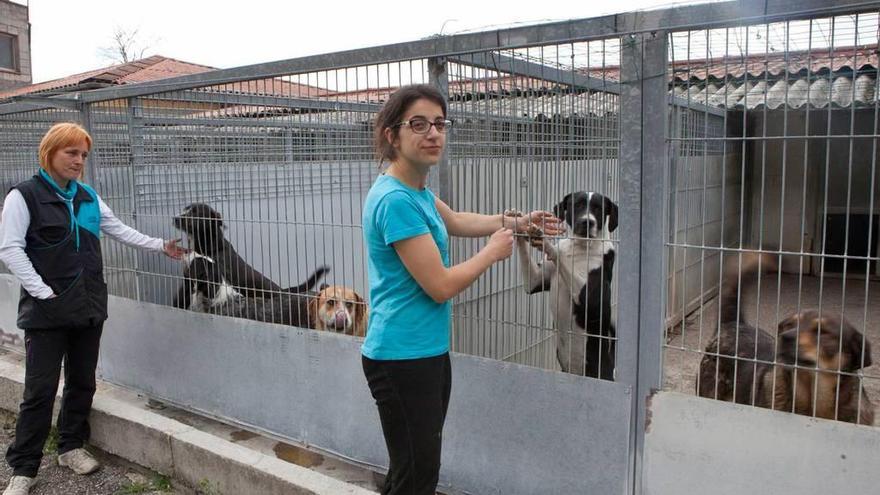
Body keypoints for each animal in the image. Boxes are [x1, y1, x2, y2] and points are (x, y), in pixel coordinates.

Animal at [516, 193, 620, 380]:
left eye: (598, 208)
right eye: (577, 205)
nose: (587, 222)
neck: (580, 245)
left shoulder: (590, 298)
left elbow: (560, 255)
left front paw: (545, 241)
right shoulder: (533, 281)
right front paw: (519, 222)